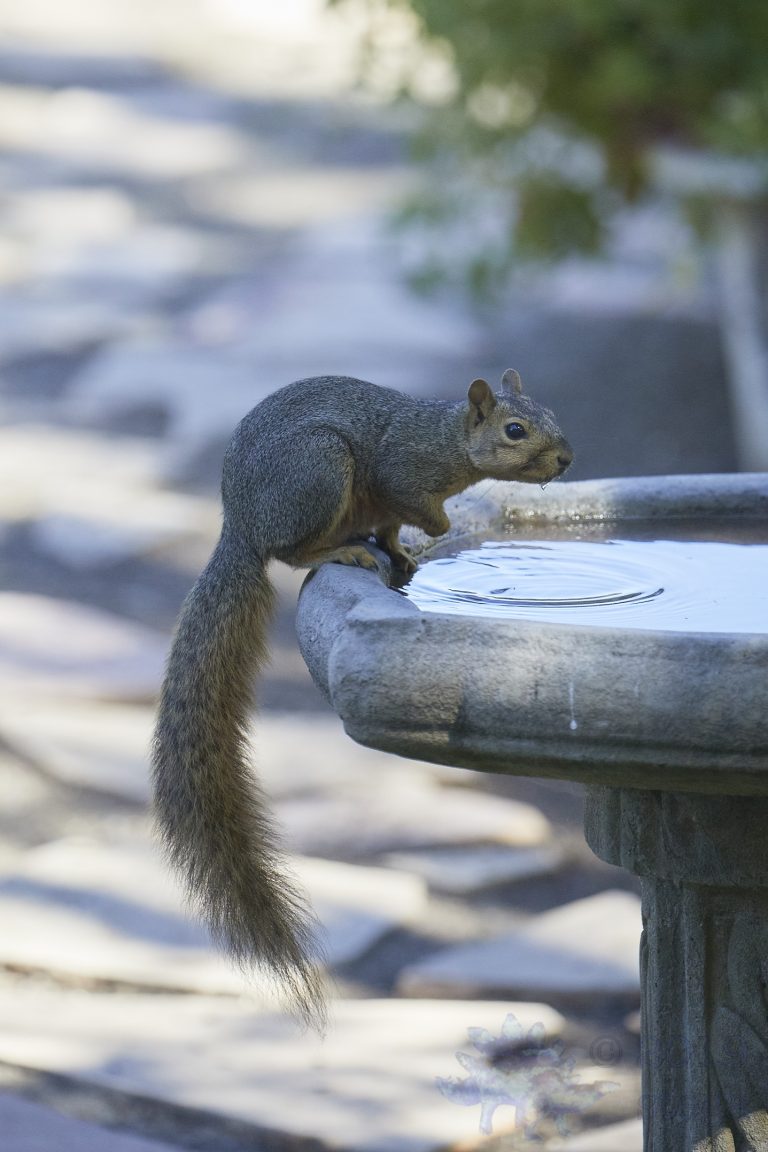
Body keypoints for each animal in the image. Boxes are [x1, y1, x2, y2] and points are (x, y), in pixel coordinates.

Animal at [151, 370, 572, 1030]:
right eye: (514, 430)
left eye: (548, 414)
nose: (566, 459)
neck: (446, 439)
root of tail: (239, 523)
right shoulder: (401, 475)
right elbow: (423, 512)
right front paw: (434, 535)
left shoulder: (389, 507)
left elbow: (396, 529)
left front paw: (404, 554)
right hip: (318, 470)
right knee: (290, 551)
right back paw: (337, 551)